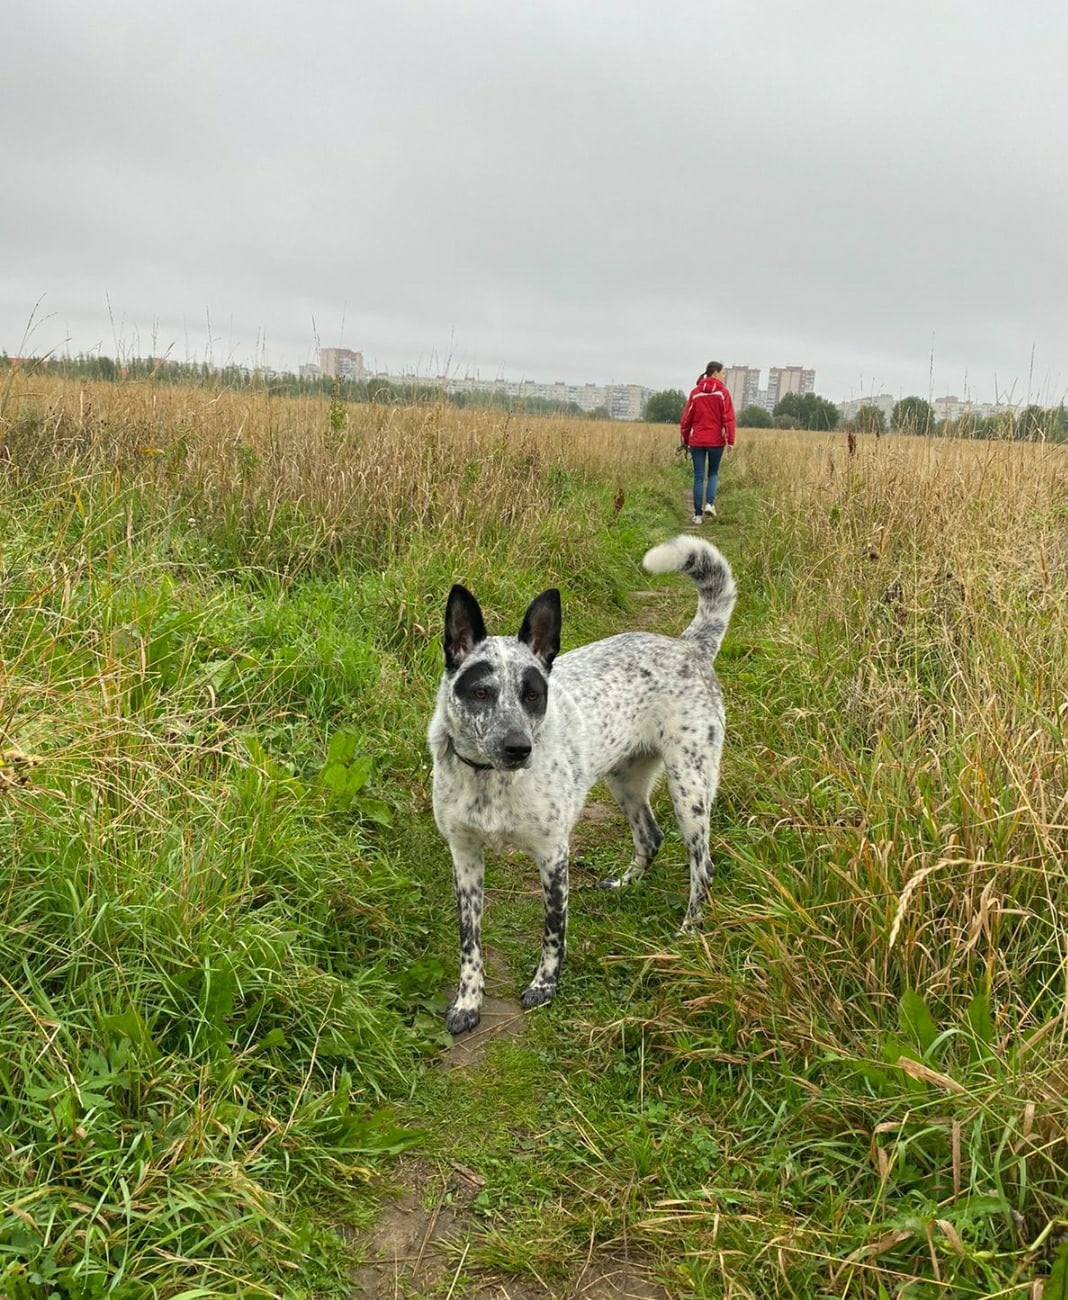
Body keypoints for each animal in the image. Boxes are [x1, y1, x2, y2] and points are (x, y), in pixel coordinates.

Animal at [426, 533, 737, 1029]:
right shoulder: (465, 857)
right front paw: (468, 1001)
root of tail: (689, 646)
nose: (519, 748)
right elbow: (469, 942)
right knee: (650, 836)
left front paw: (544, 986)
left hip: (690, 787)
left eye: (533, 695)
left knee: (702, 866)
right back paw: (626, 883)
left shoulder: (553, 855)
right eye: (481, 692)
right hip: (625, 781)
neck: (490, 780)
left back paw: (689, 930)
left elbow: (553, 931)